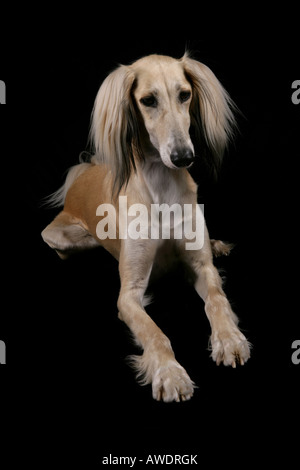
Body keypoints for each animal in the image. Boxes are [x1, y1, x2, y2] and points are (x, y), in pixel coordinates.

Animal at [41, 53, 250, 402]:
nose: (183, 157)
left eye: (185, 94)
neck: (162, 185)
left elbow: (217, 299)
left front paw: (230, 338)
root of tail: (83, 172)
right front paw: (170, 373)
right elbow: (154, 333)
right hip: (59, 235)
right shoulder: (129, 294)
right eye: (148, 100)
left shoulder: (201, 266)